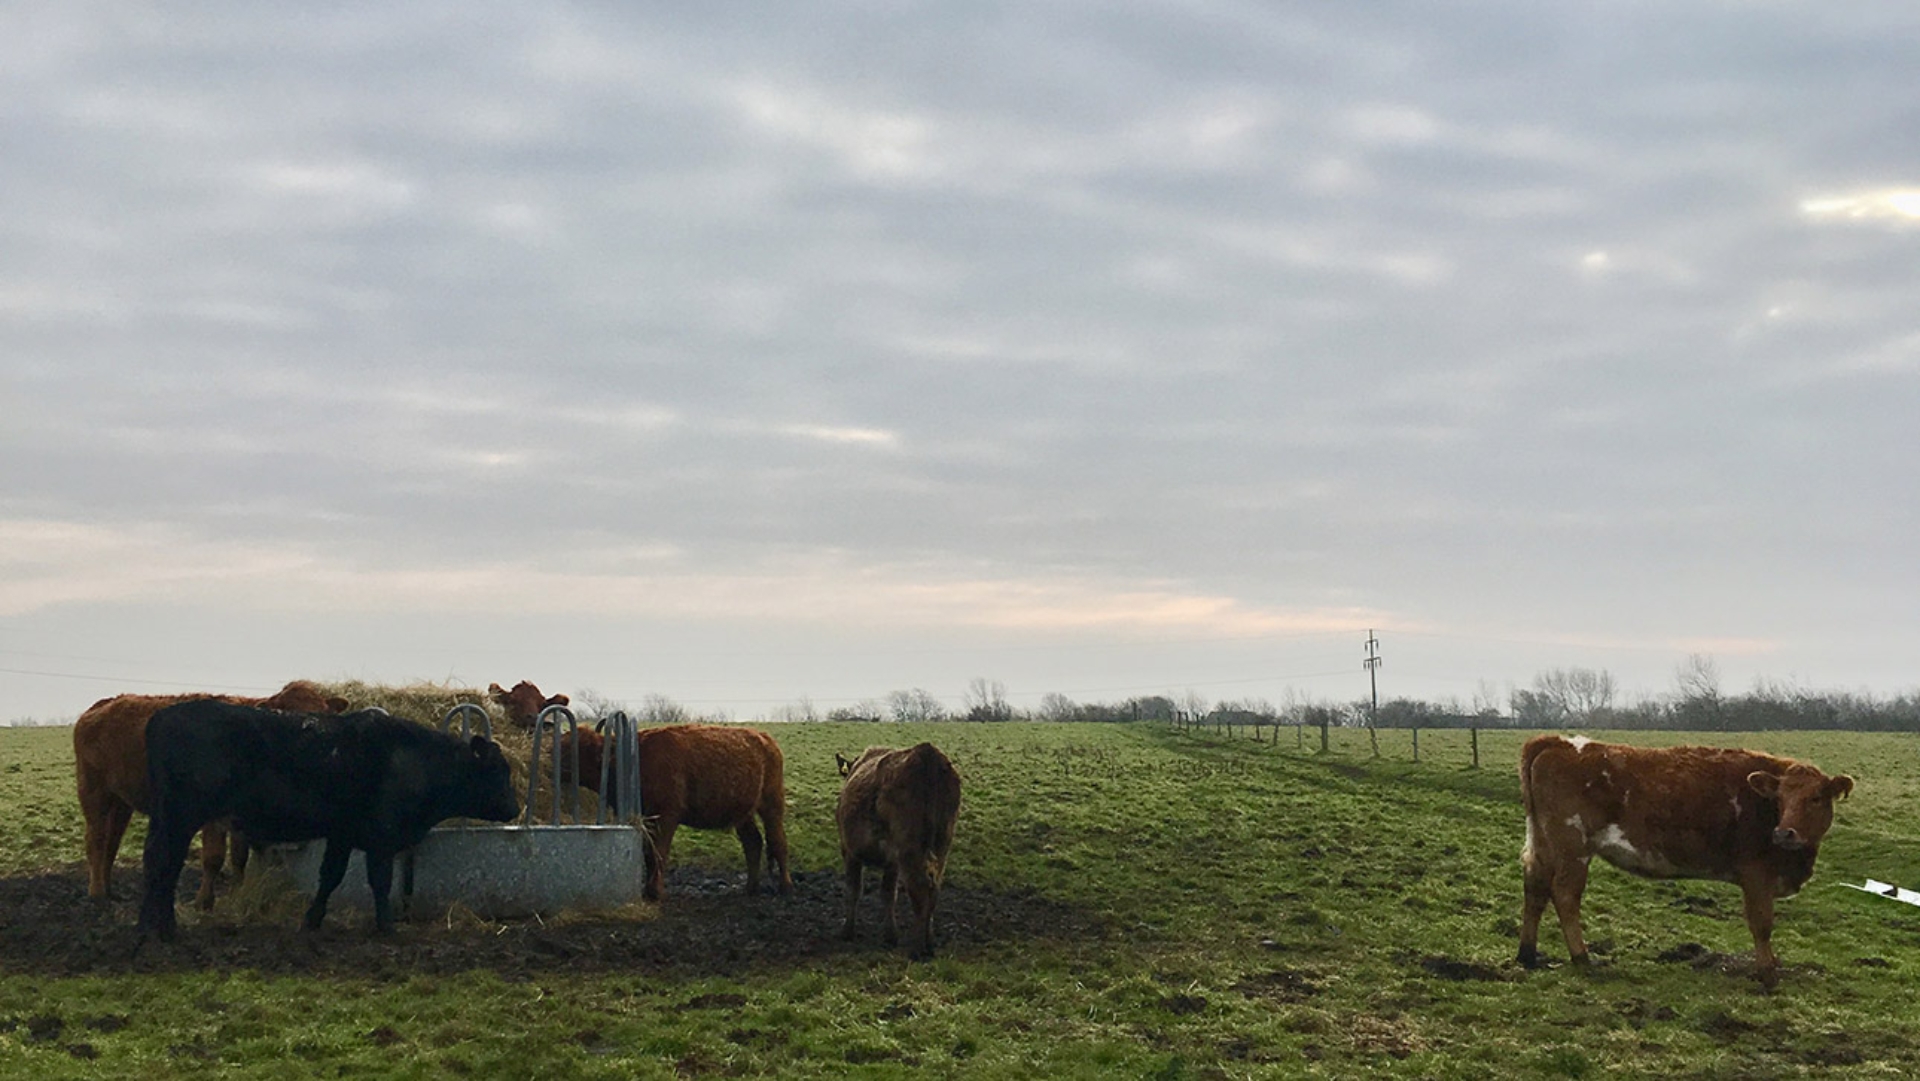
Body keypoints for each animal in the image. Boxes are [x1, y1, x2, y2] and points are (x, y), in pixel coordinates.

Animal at [72, 679, 349, 907]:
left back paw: (109, 890)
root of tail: (106, 704)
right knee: (96, 839)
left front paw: (238, 892)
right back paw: (97, 894)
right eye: (285, 717)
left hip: (120, 800)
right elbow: (214, 857)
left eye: (323, 717)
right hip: (93, 791)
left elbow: (239, 856)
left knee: (112, 841)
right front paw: (204, 901)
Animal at [138, 700, 519, 940]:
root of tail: (161, 718)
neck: (416, 759)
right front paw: (386, 926)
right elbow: (380, 882)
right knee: (164, 863)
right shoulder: (381, 839)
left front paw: (312, 920)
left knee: (155, 862)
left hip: (167, 819)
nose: (514, 808)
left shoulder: (342, 835)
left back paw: (148, 926)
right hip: (180, 817)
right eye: (499, 771)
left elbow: (330, 877)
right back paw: (164, 929)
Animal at [557, 723, 790, 901]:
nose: (552, 765)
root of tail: (766, 739)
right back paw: (751, 888)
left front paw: (656, 892)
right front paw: (649, 891)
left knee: (777, 840)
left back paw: (785, 886)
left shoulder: (667, 817)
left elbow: (659, 852)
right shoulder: (647, 820)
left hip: (771, 804)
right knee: (753, 842)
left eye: (577, 750)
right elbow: (648, 853)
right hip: (742, 814)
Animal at [835, 743, 962, 959]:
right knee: (934, 889)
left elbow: (853, 890)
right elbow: (888, 894)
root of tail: (927, 754)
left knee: (920, 887)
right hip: (942, 844)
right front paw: (890, 934)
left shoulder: (850, 850)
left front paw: (847, 931)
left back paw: (916, 948)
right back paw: (929, 942)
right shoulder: (892, 861)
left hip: (909, 848)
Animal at [1518, 734, 1853, 988]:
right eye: (1780, 798)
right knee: (1564, 895)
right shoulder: (1757, 875)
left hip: (1543, 844)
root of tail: (1557, 742)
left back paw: (1527, 955)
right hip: (1572, 848)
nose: (1784, 833)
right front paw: (1768, 974)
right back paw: (1581, 958)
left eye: (1816, 798)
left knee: (1535, 889)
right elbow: (1762, 924)